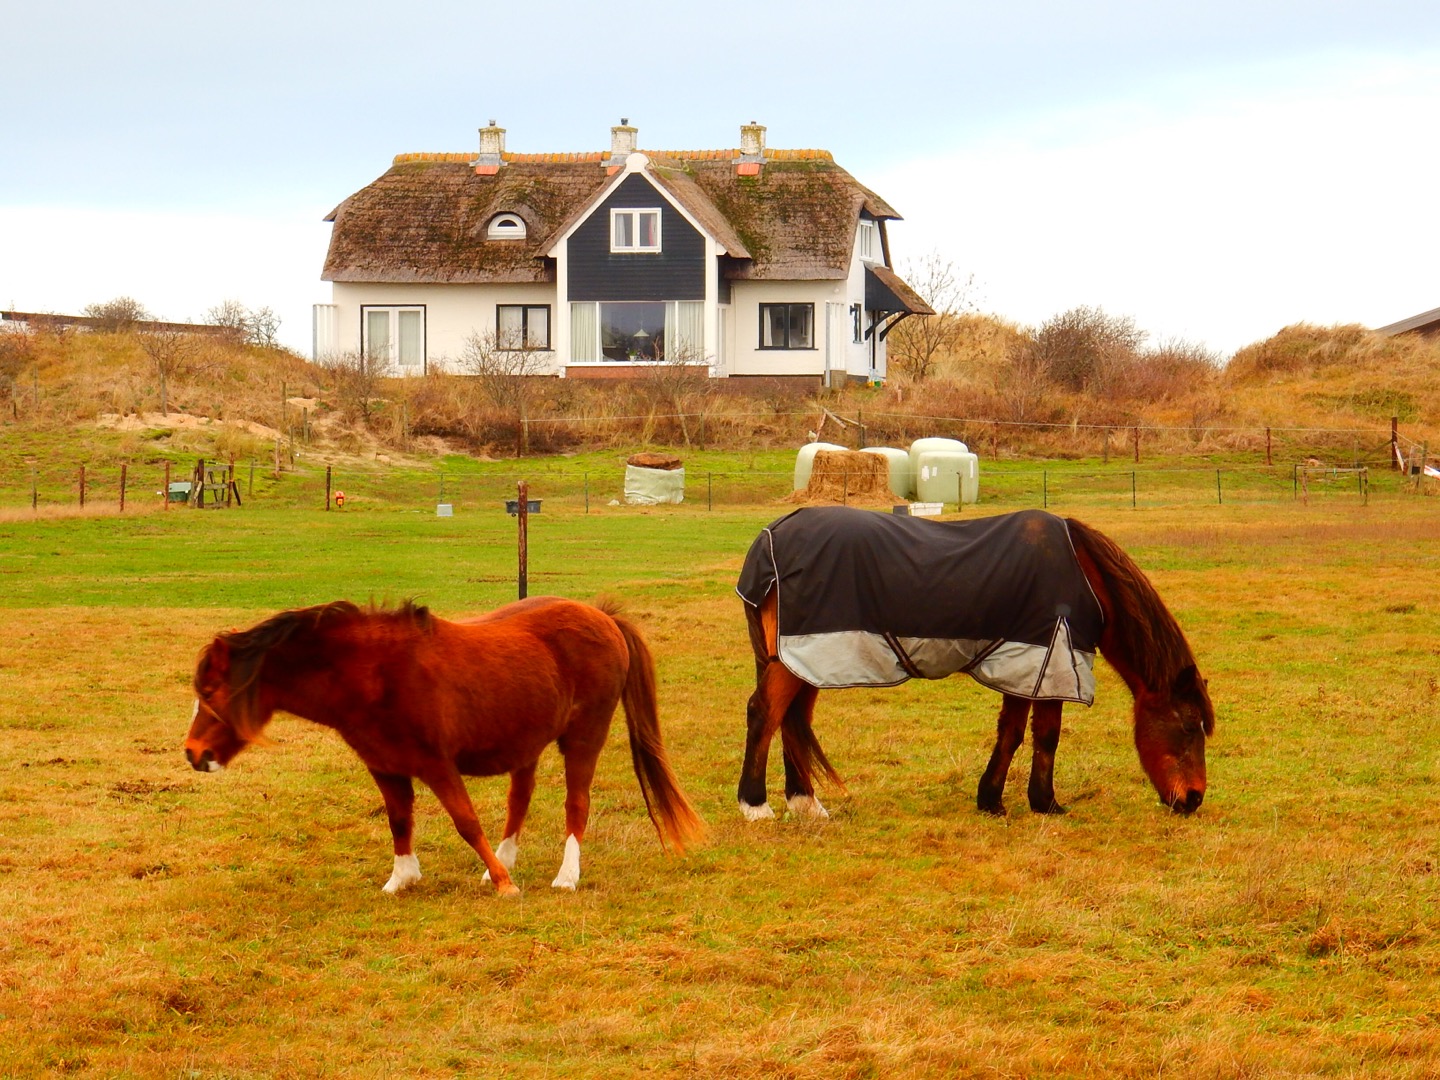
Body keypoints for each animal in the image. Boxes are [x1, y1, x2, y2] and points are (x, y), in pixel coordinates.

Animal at [185, 596, 702, 892]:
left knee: (576, 803)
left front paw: (504, 885)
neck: (373, 673)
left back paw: (565, 876)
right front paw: (402, 878)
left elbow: (465, 821)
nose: (193, 753)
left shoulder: (437, 764)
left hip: (583, 737)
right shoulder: (385, 766)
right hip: (527, 742)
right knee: (520, 800)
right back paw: (505, 859)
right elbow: (399, 821)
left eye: (209, 692)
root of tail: (603, 617)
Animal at [731, 506, 1215, 817]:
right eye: (1190, 726)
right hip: (796, 658)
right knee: (765, 713)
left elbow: (1013, 733)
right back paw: (755, 805)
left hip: (806, 660)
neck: (1086, 578)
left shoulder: (1025, 665)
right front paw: (1046, 803)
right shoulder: (1053, 660)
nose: (1193, 799)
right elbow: (1047, 735)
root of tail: (769, 538)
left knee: (791, 719)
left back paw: (805, 803)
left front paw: (992, 800)